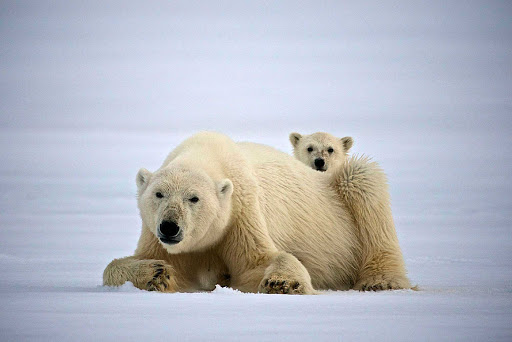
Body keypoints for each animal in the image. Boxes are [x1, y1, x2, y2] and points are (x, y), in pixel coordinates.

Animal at [104, 132, 412, 292]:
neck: (207, 153)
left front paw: (281, 281)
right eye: (159, 194)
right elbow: (123, 266)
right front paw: (155, 273)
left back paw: (380, 282)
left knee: (366, 186)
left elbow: (256, 263)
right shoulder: (158, 236)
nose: (169, 227)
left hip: (344, 189)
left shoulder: (242, 211)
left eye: (194, 198)